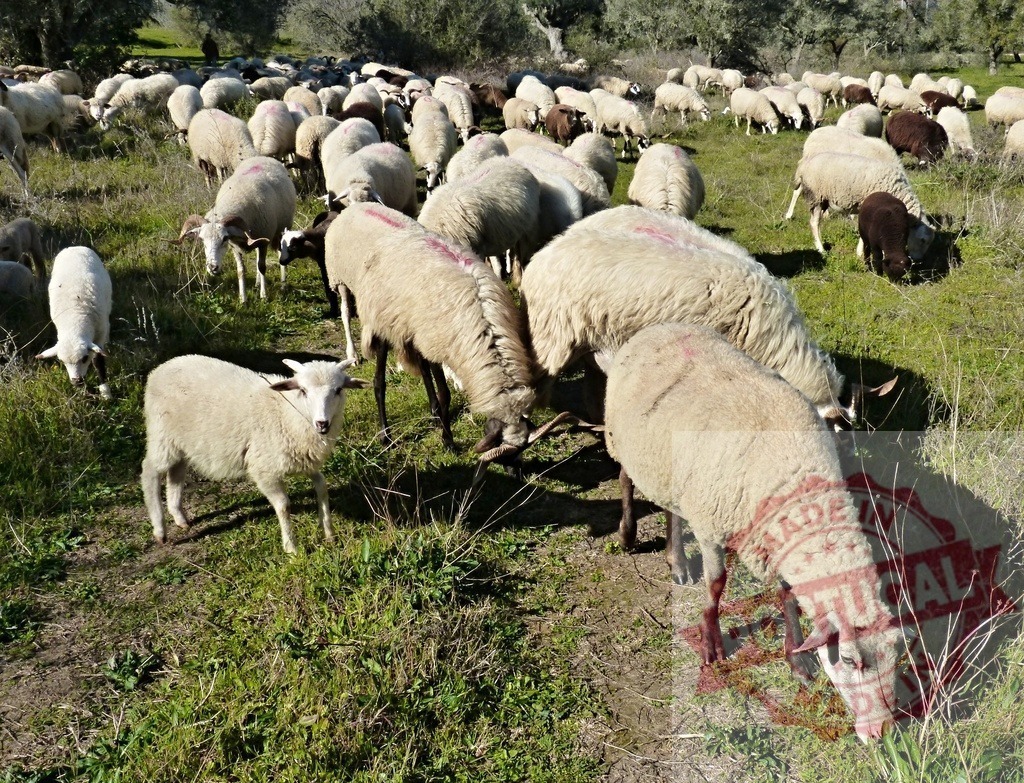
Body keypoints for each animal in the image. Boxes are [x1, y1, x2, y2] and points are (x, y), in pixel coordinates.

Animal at [35, 246, 112, 399]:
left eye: (85, 358)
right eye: (62, 361)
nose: (77, 381)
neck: (74, 321)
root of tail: (73, 247)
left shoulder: (100, 334)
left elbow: (98, 361)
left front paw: (105, 392)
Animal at [141, 355, 367, 554]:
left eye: (338, 390)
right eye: (303, 390)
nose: (322, 423)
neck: (286, 412)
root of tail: (160, 369)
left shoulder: (304, 461)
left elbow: (322, 487)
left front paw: (329, 533)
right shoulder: (264, 469)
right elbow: (284, 506)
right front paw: (291, 548)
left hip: (180, 442)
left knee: (175, 473)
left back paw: (179, 517)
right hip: (162, 436)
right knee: (149, 471)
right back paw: (160, 530)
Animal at [176, 156, 296, 303]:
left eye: (224, 239)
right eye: (202, 240)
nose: (212, 267)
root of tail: (263, 157)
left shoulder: (263, 242)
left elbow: (262, 267)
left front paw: (263, 295)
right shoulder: (235, 246)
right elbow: (241, 270)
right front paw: (243, 298)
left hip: (282, 229)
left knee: (279, 254)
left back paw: (283, 284)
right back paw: (257, 282)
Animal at [603, 321, 902, 741]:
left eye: (897, 654)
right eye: (848, 659)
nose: (883, 732)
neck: (794, 472)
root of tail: (660, 326)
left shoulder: (775, 540)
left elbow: (787, 596)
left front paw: (797, 660)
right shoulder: (711, 523)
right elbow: (716, 585)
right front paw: (711, 645)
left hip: (671, 466)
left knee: (672, 509)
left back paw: (677, 561)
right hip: (625, 440)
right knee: (626, 479)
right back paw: (628, 534)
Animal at [784, 152, 934, 259]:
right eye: (923, 240)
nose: (918, 261)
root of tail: (803, 163)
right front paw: (862, 252)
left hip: (822, 199)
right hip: (816, 196)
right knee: (814, 223)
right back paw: (821, 249)